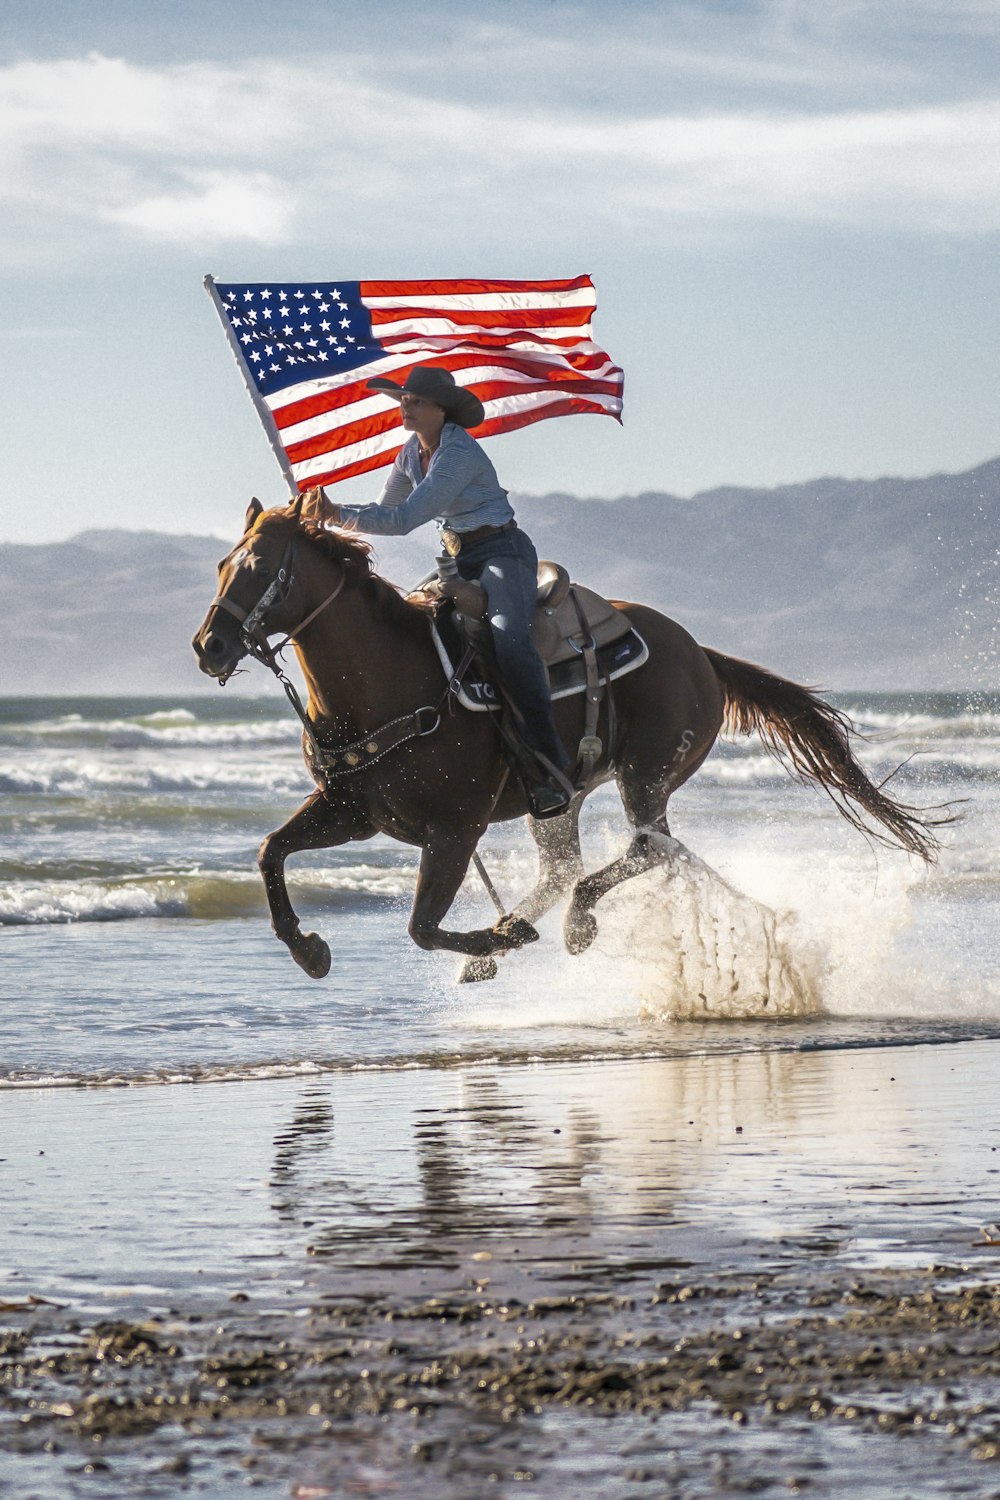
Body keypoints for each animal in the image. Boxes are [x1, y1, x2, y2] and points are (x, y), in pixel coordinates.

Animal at [193, 492, 941, 984]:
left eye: (258, 566)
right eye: (224, 564)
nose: (209, 646)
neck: (390, 680)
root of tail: (698, 651)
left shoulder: (454, 830)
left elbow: (421, 926)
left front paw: (497, 937)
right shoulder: (354, 812)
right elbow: (270, 851)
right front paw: (308, 949)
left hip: (647, 773)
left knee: (648, 849)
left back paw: (569, 926)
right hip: (561, 797)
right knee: (575, 865)